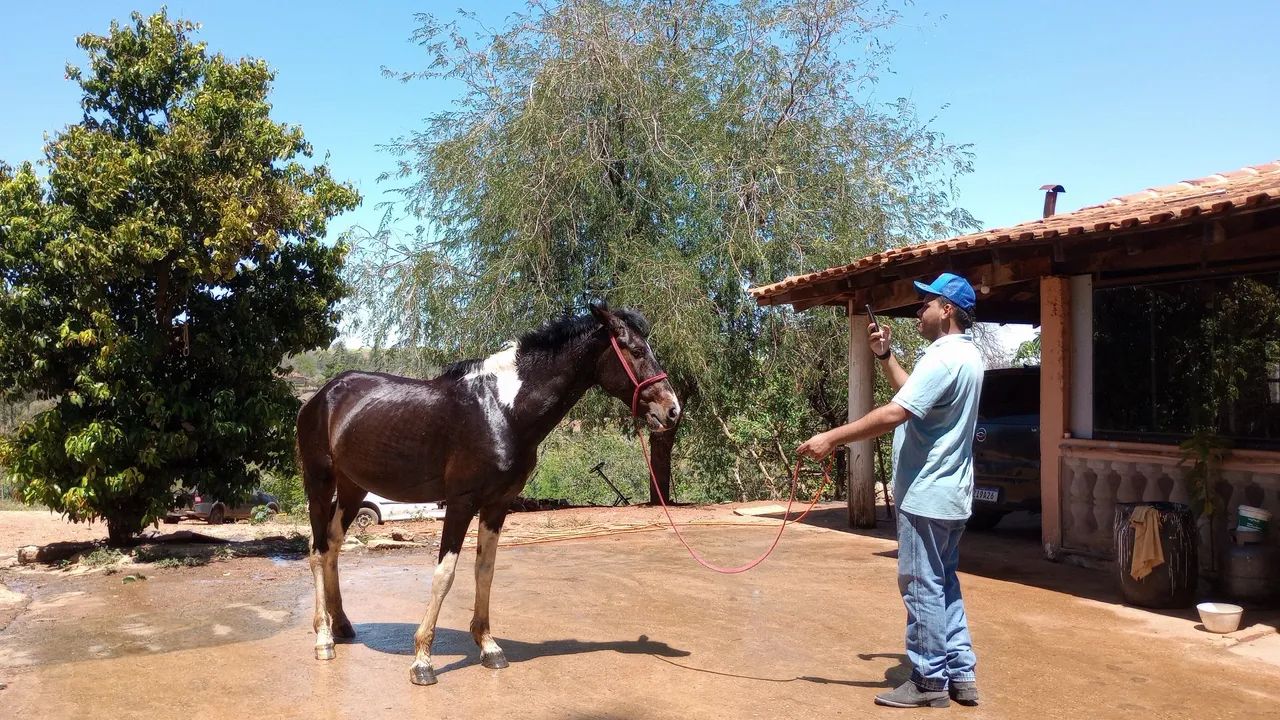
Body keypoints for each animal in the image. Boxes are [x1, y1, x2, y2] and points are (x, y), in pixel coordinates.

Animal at [295, 305, 681, 685]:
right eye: (636, 351)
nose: (672, 410)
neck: (503, 411)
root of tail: (323, 394)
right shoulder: (461, 502)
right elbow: (444, 575)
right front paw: (422, 660)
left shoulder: (498, 504)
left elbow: (485, 570)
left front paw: (488, 646)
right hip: (320, 483)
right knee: (317, 550)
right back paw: (323, 638)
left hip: (354, 487)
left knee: (333, 544)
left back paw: (342, 624)